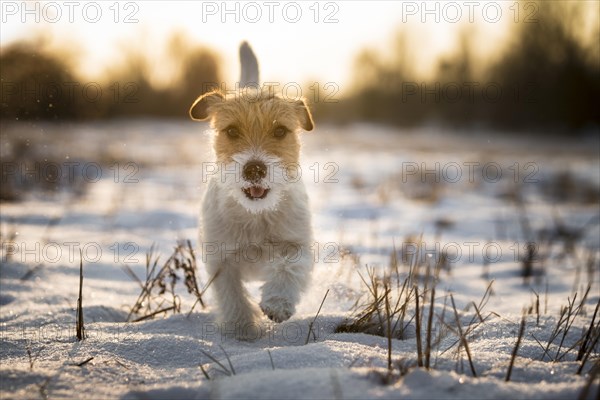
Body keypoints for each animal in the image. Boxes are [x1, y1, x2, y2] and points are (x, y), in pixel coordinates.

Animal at [191, 43, 314, 338]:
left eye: (280, 131)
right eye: (232, 131)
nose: (254, 169)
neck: (256, 214)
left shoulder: (297, 244)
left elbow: (289, 266)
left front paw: (278, 303)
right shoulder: (221, 259)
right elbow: (232, 294)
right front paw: (242, 329)